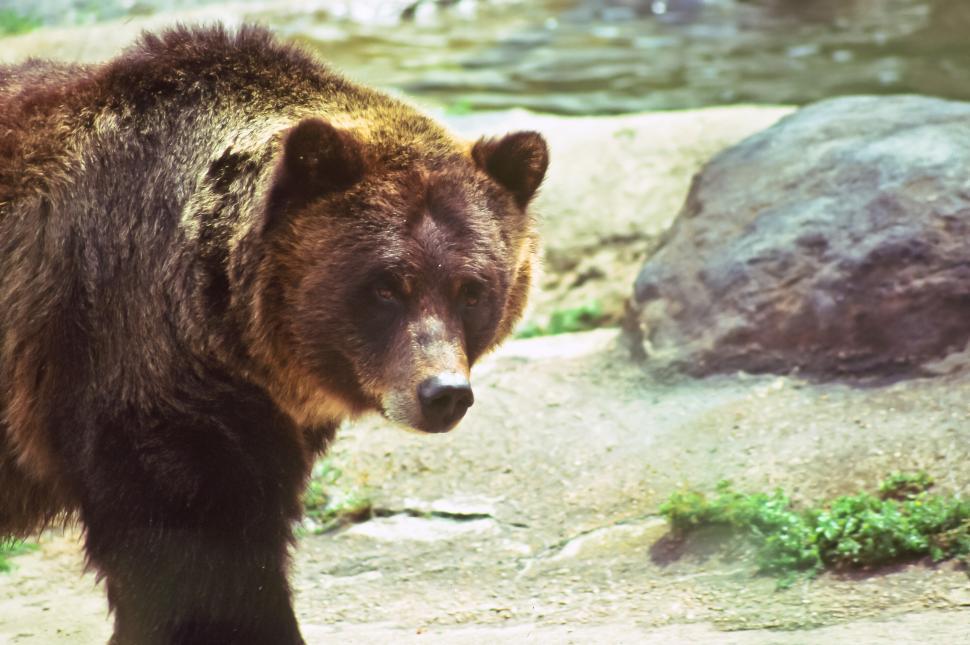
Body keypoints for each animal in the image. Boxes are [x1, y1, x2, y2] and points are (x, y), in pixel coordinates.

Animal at [0, 25, 547, 644]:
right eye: (386, 286)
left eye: (471, 290)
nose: (443, 393)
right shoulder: (126, 358)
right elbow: (191, 554)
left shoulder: (266, 415)